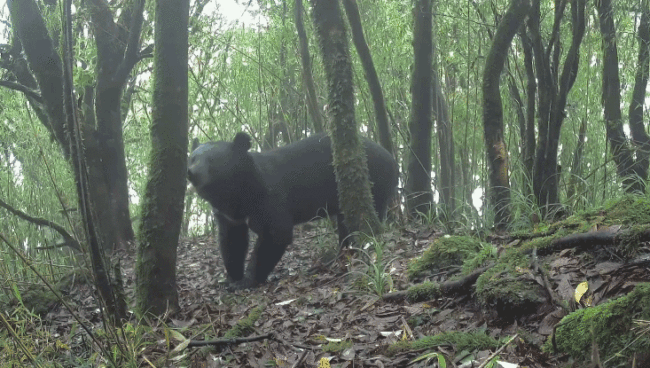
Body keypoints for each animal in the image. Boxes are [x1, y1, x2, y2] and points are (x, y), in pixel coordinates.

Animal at [187, 132, 398, 288]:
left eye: (213, 160)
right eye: (192, 158)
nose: (191, 173)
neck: (236, 196)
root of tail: (392, 159)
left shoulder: (269, 198)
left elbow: (276, 233)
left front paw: (247, 281)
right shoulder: (229, 216)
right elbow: (232, 241)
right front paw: (230, 279)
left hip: (374, 182)